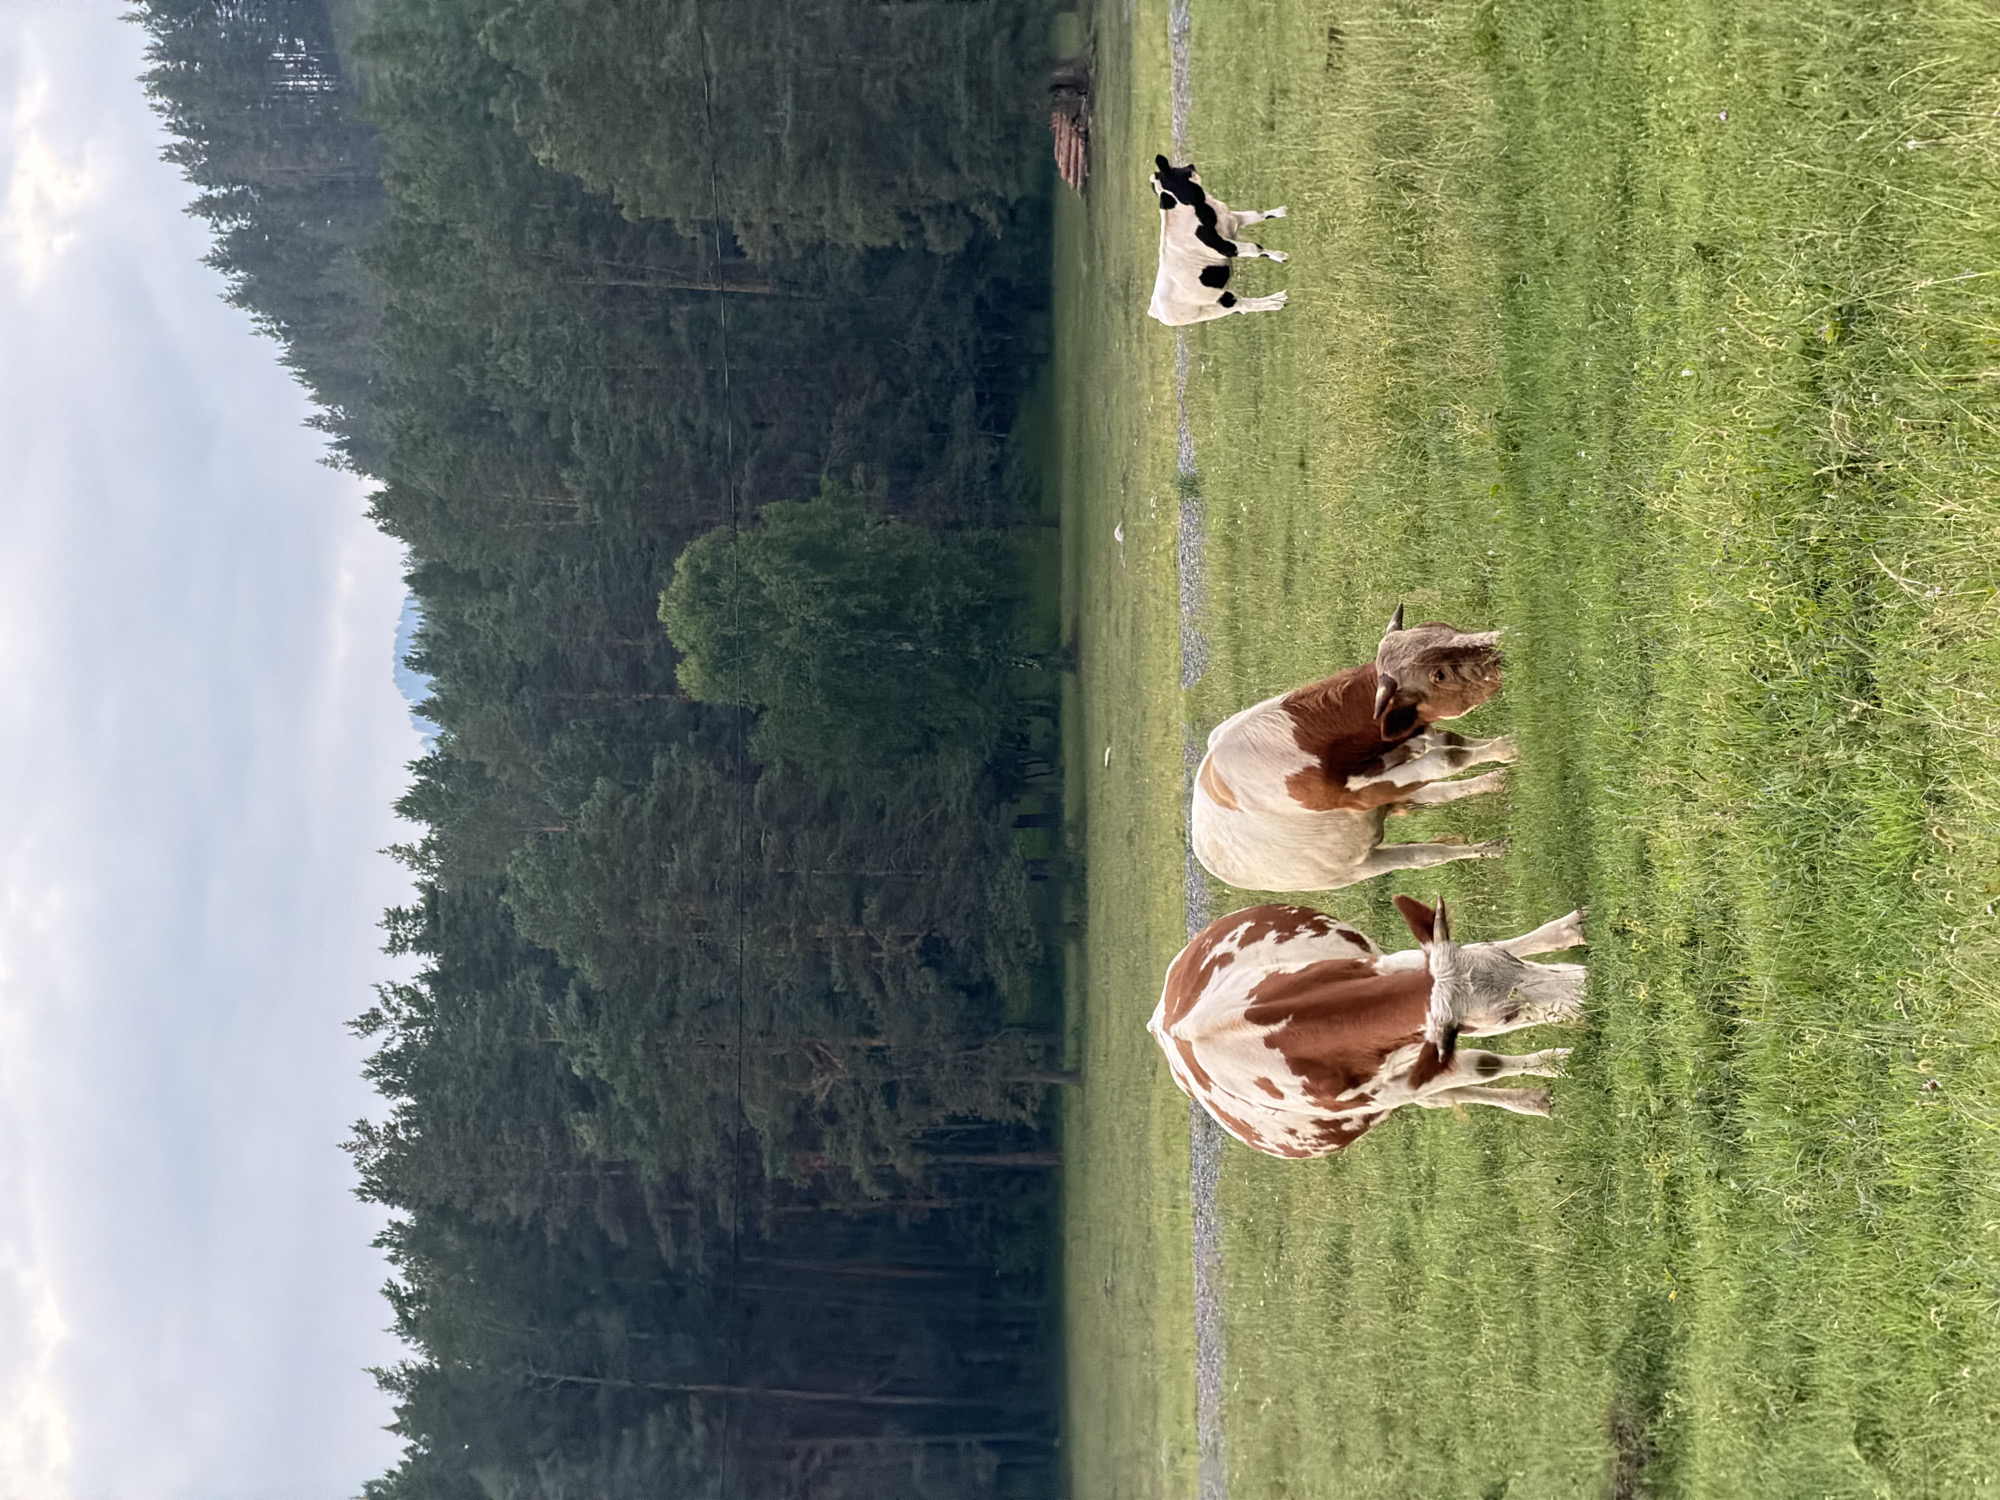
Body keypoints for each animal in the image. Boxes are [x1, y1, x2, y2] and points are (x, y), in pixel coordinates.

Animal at [1149, 156, 1288, 326]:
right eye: (1174, 169)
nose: (1191, 165)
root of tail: (1155, 311)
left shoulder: (1232, 219)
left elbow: (1258, 214)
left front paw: (1281, 211)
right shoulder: (1225, 246)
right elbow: (1256, 248)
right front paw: (1281, 256)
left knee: (1242, 307)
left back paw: (1277, 299)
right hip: (1219, 304)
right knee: (1244, 305)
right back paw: (1277, 302)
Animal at [1149, 897, 1587, 1159]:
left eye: (1506, 958)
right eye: (1505, 1016)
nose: (1586, 984)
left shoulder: (1393, 966)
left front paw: (1566, 932)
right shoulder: (1400, 1084)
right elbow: (1485, 1065)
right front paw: (1560, 1061)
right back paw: (1529, 1097)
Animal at [1191, 607, 1514, 893]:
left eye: (1443, 627)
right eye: (1439, 675)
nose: (1502, 647)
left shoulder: (1406, 743)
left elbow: (1450, 742)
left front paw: (1505, 747)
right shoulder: (1363, 794)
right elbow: (1448, 758)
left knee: (1435, 793)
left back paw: (1492, 784)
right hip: (1355, 866)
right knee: (1425, 856)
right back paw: (1488, 847)